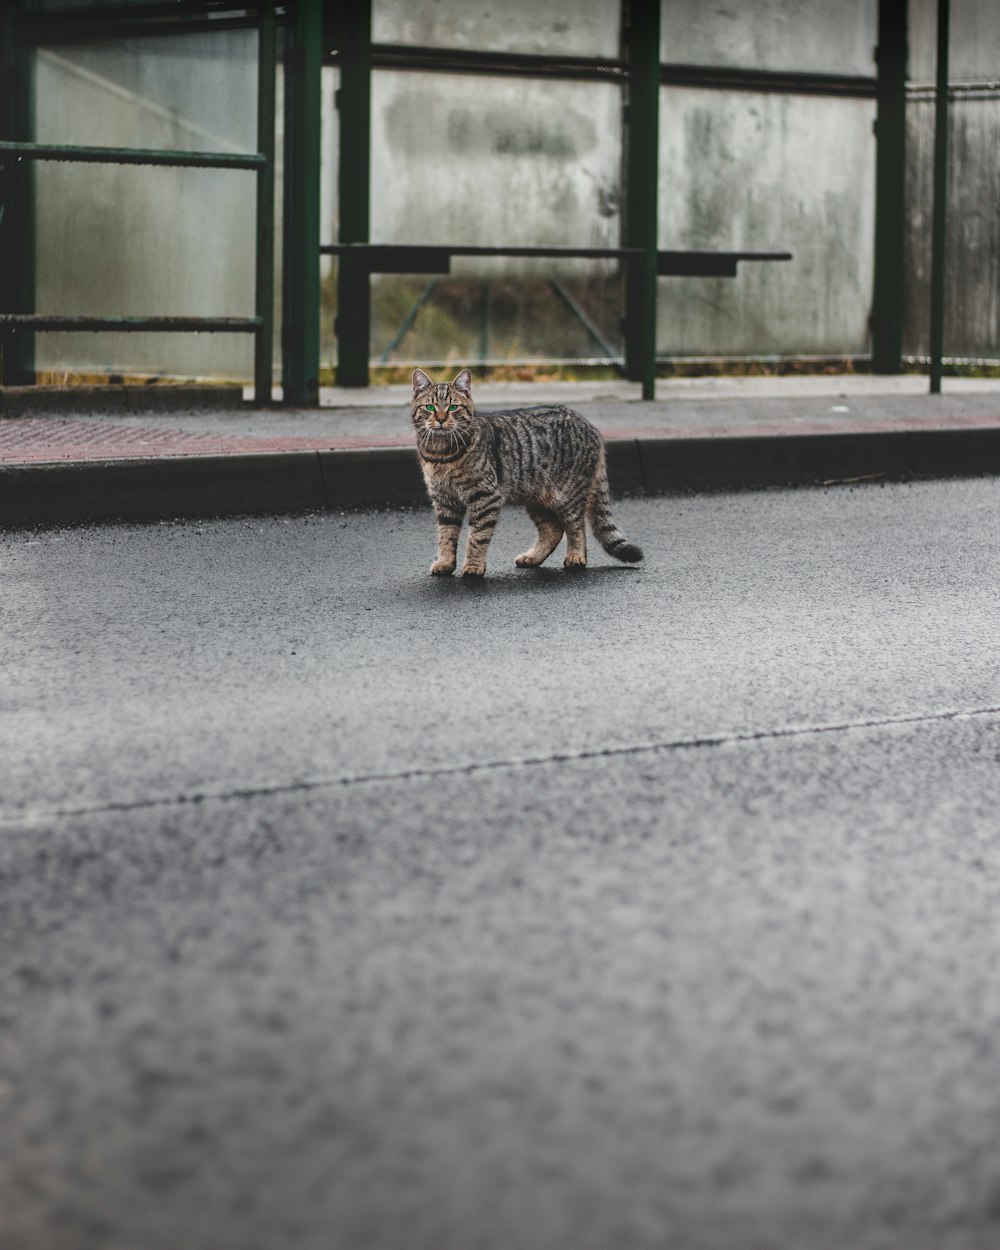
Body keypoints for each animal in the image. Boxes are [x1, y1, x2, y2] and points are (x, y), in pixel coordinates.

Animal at [412, 362, 640, 575]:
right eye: (430, 407)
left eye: (453, 408)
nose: (441, 419)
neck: (440, 454)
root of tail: (591, 427)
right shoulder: (444, 499)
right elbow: (445, 536)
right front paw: (445, 563)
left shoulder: (486, 496)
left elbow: (477, 537)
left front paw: (473, 566)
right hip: (536, 498)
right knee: (553, 530)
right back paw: (532, 557)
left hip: (568, 495)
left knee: (576, 526)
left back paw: (576, 556)